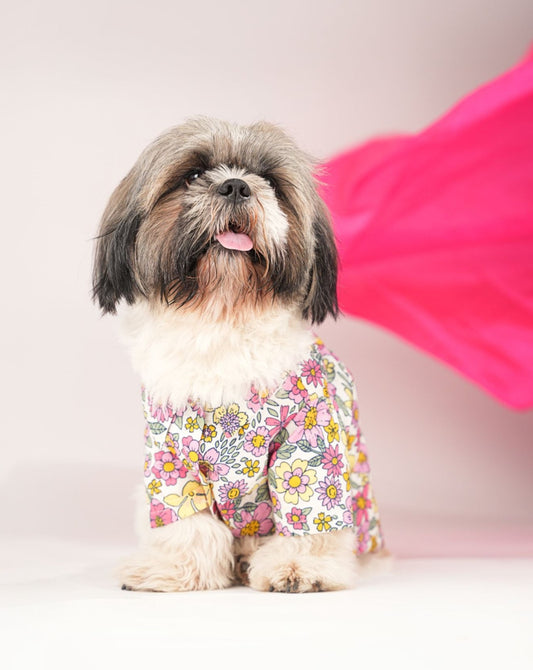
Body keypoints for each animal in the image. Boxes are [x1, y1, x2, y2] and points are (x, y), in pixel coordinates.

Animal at [91, 118, 382, 596]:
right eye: (193, 174)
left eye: (272, 183)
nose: (236, 186)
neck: (223, 314)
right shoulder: (170, 456)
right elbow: (185, 521)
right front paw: (175, 568)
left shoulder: (307, 443)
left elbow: (308, 514)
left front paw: (300, 568)